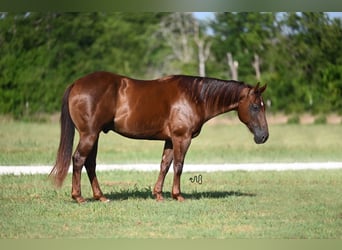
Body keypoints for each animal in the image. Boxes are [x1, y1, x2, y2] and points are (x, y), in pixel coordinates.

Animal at [49, 71, 268, 203]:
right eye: (255, 107)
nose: (264, 136)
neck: (194, 97)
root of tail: (76, 83)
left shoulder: (170, 140)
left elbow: (164, 165)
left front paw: (159, 194)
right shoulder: (182, 138)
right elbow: (178, 165)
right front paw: (178, 195)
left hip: (93, 136)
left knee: (90, 163)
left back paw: (100, 197)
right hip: (89, 135)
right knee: (79, 160)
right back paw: (78, 197)